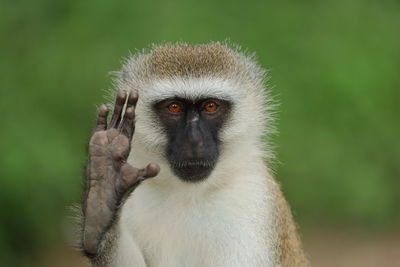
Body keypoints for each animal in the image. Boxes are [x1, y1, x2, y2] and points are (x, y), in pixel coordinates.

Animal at [79, 43, 308, 266]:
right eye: (174, 107)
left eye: (210, 106)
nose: (194, 140)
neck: (188, 194)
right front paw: (103, 197)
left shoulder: (252, 200)